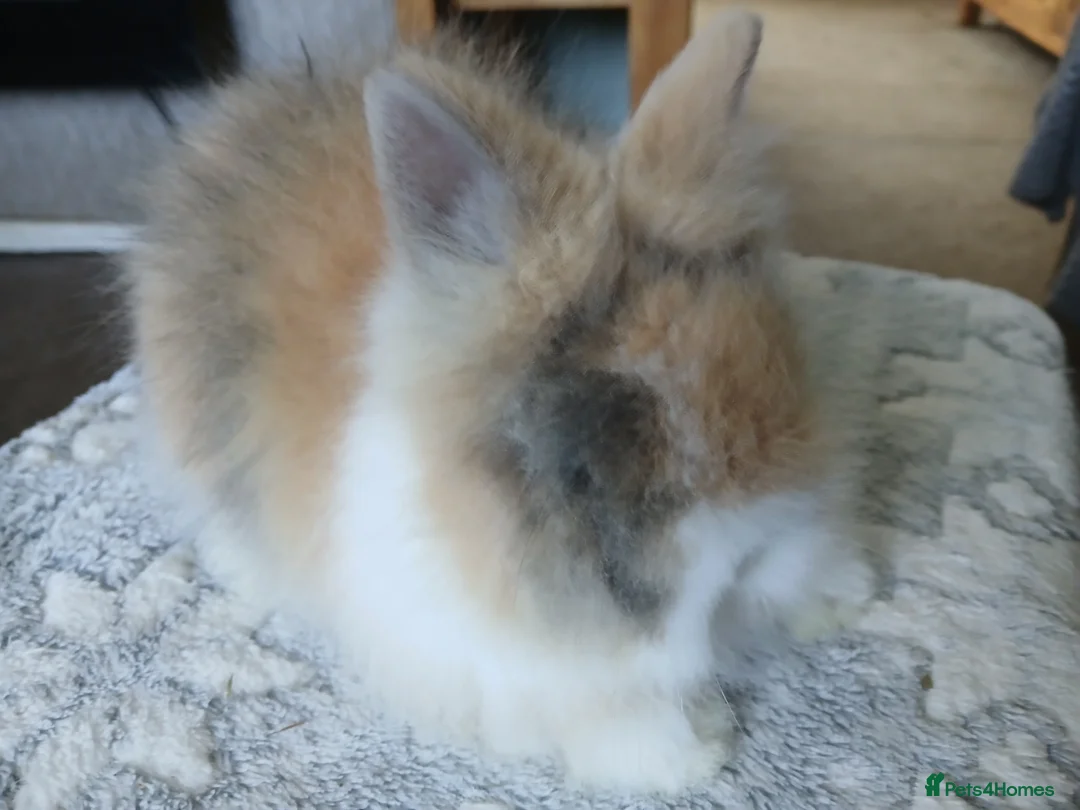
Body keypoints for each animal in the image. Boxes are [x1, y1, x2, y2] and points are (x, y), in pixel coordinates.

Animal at [124, 7, 876, 795]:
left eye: (784, 363)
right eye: (579, 473)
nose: (753, 559)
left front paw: (840, 595)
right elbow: (606, 711)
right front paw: (692, 753)